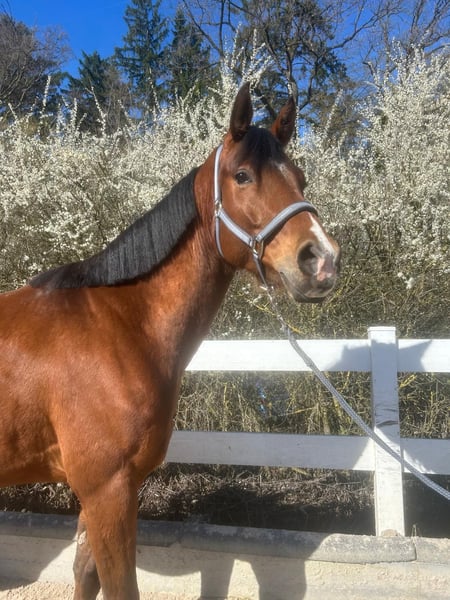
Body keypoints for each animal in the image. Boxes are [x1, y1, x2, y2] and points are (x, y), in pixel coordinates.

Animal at [0, 84, 340, 599]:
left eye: (300, 178)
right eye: (242, 176)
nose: (321, 260)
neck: (122, 325)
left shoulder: (107, 493)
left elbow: (85, 573)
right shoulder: (106, 490)